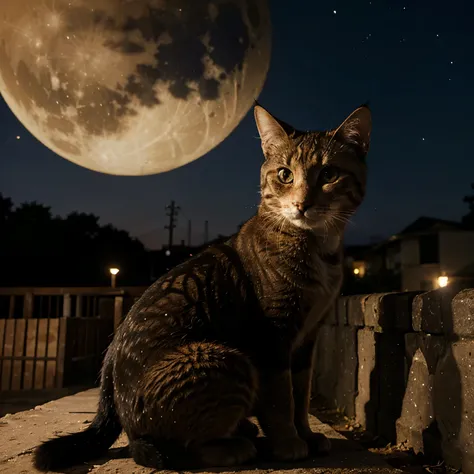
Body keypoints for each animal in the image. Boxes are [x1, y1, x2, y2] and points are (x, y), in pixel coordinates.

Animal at [34, 102, 370, 472]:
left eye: (328, 175)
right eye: (285, 175)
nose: (302, 204)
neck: (319, 250)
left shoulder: (308, 337)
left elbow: (301, 393)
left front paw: (307, 435)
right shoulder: (273, 335)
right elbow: (281, 398)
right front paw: (288, 443)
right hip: (220, 358)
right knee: (161, 449)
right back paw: (238, 445)